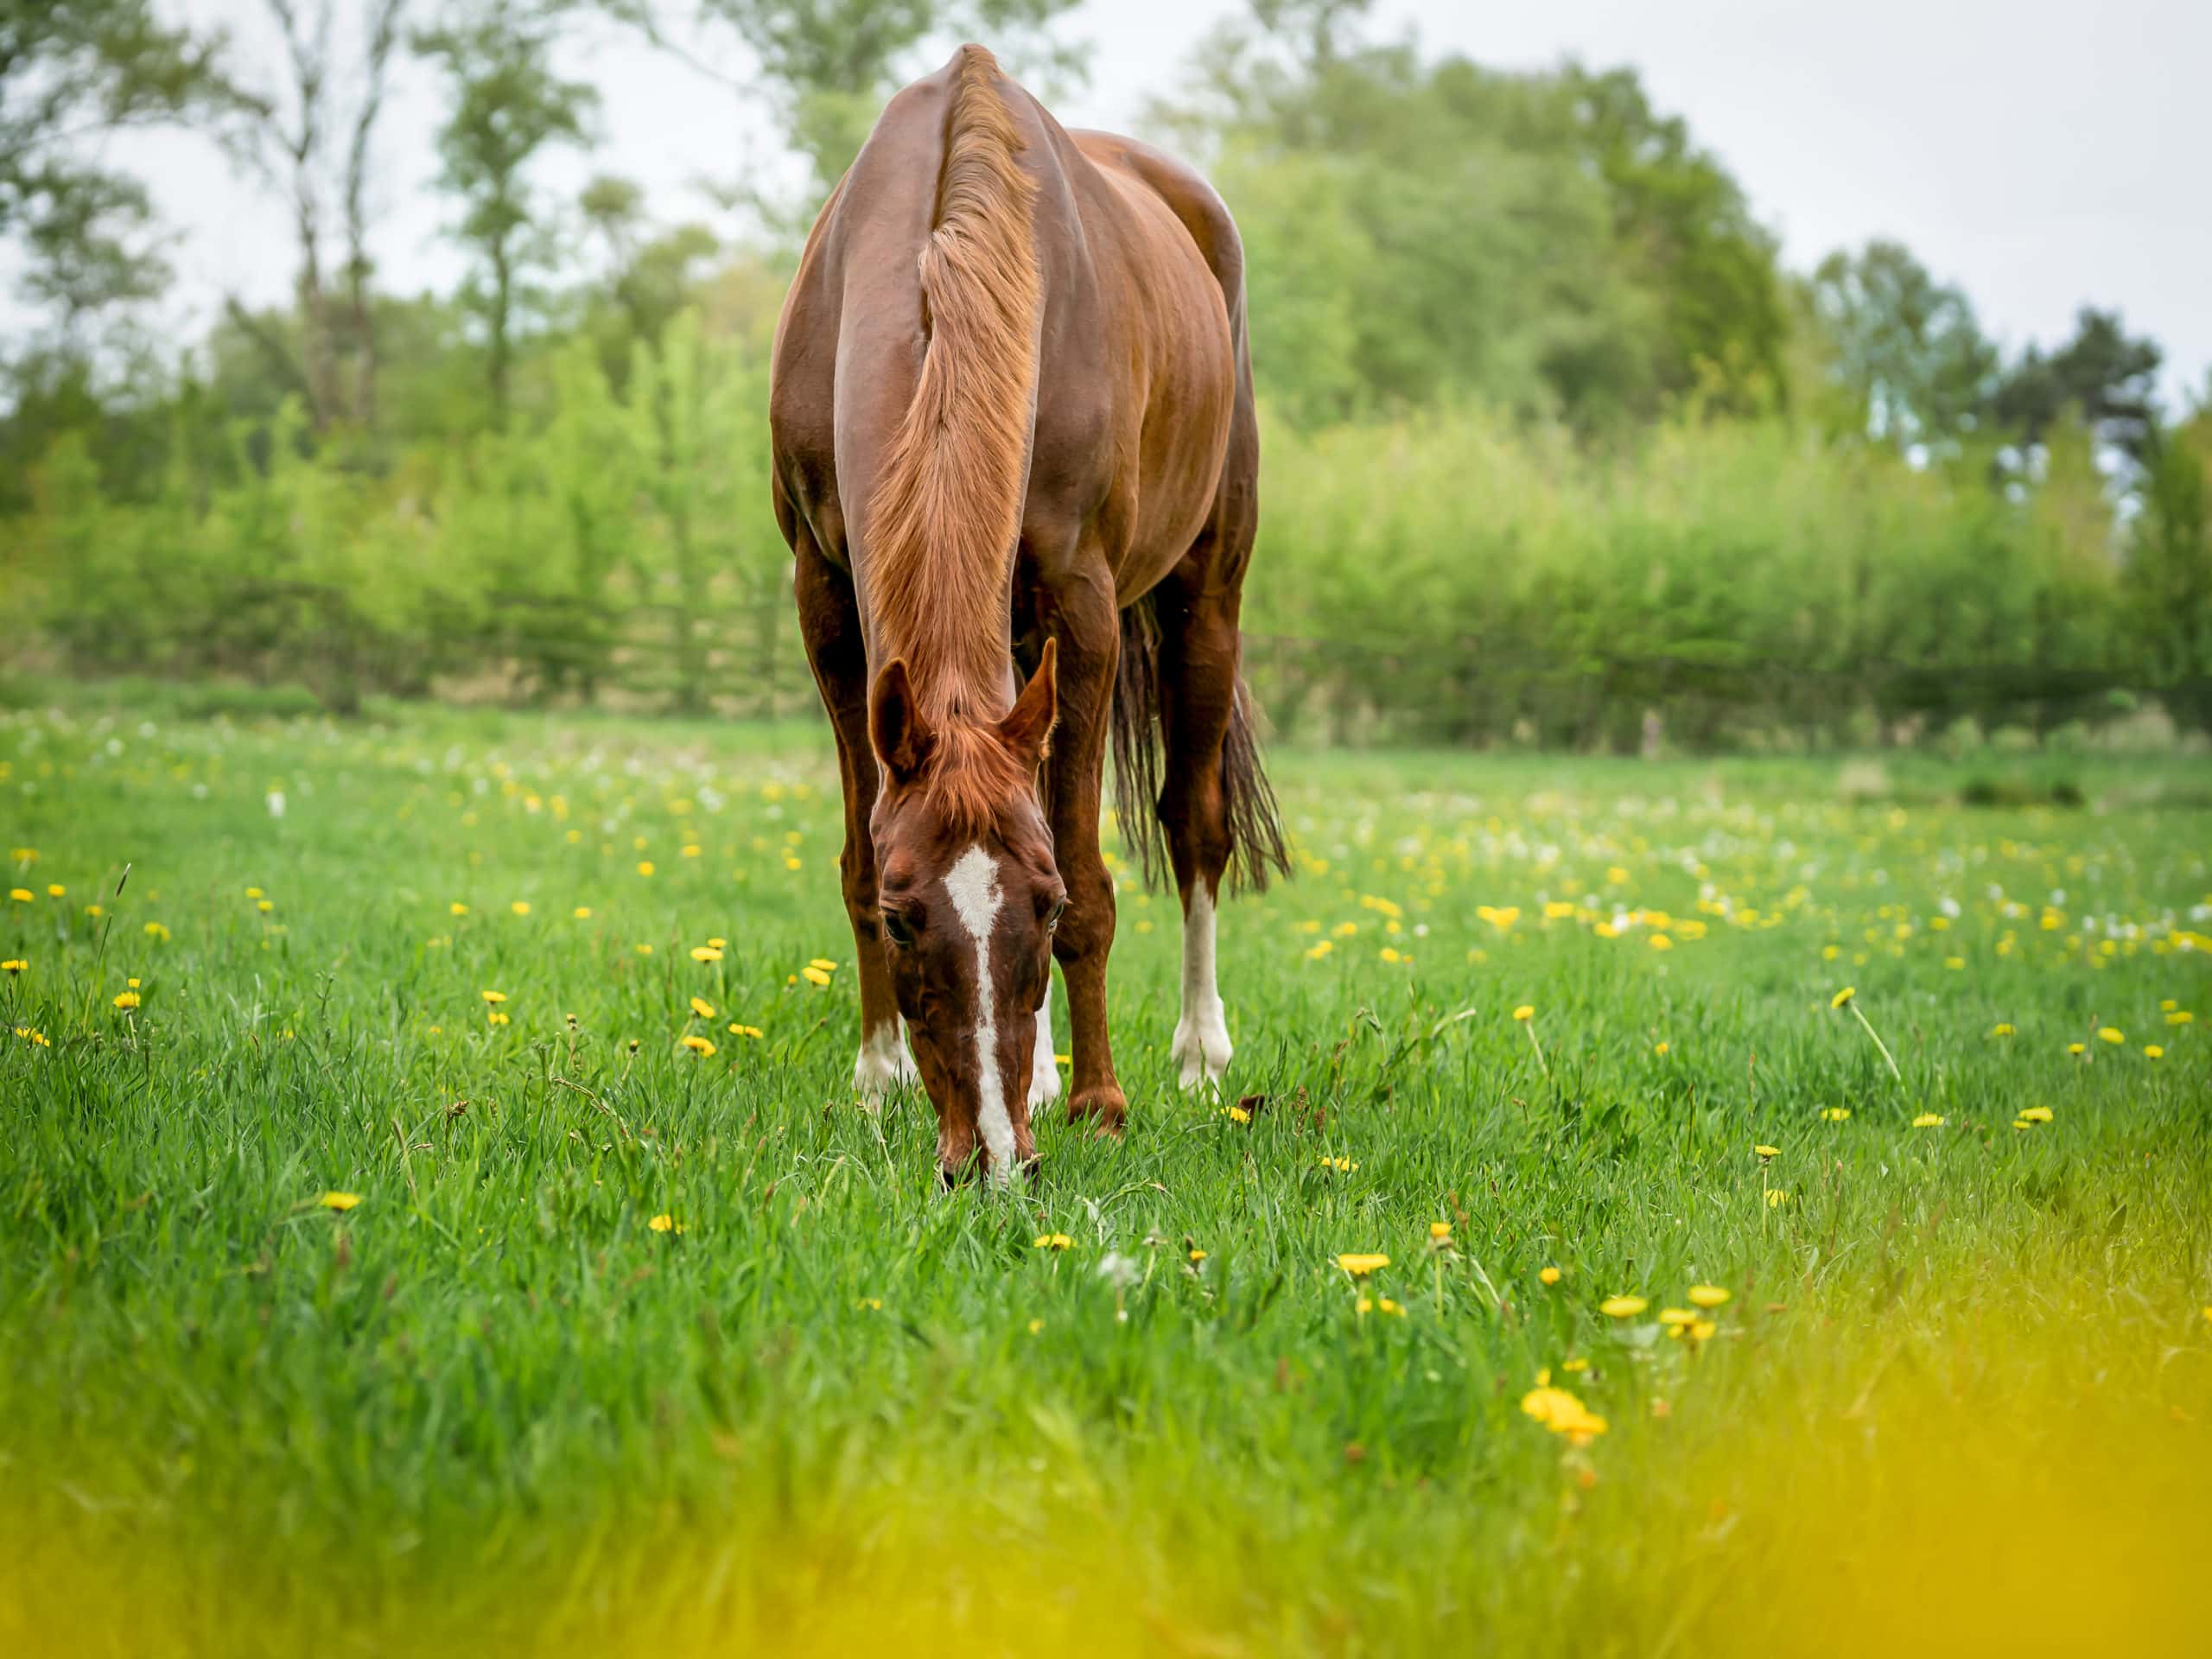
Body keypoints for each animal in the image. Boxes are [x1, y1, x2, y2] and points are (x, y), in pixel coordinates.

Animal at [774, 39, 1292, 1185]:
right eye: (902, 915)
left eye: (1041, 907)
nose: (991, 1159)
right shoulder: (823, 599)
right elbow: (855, 848)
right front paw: (877, 1078)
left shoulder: (1082, 606)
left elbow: (1092, 871)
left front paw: (1102, 1101)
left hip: (1205, 599)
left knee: (1192, 826)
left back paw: (1196, 1054)